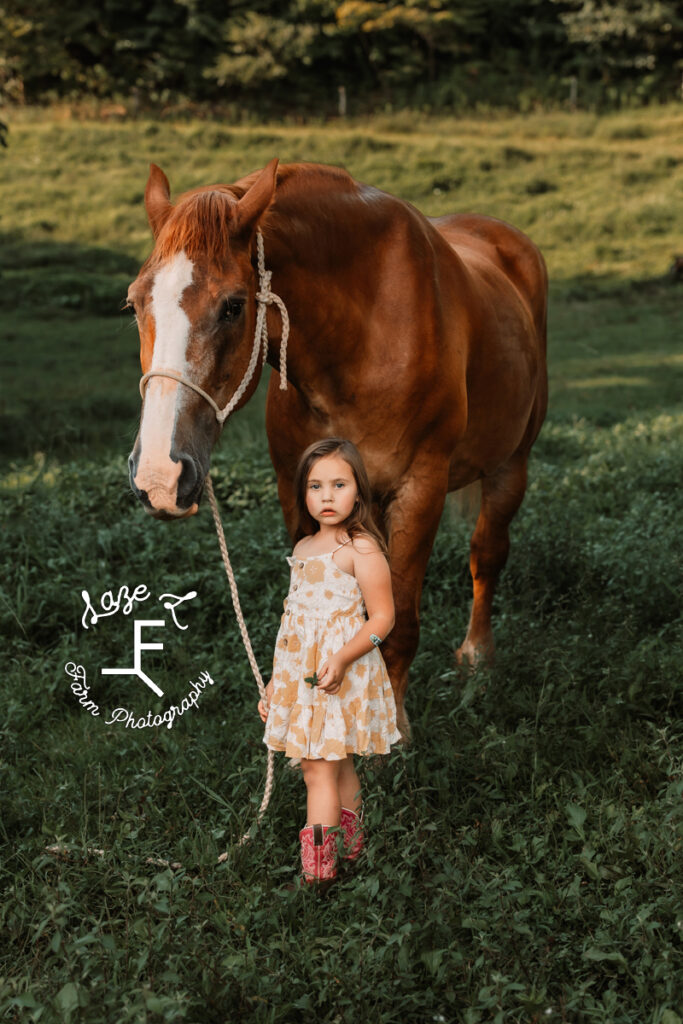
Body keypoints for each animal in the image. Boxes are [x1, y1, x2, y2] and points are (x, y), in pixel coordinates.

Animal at [126, 157, 544, 737]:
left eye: (233, 306)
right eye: (134, 303)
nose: (160, 477)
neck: (361, 337)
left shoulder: (421, 490)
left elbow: (400, 620)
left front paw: (391, 731)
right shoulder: (297, 491)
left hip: (511, 465)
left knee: (487, 555)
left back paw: (477, 660)